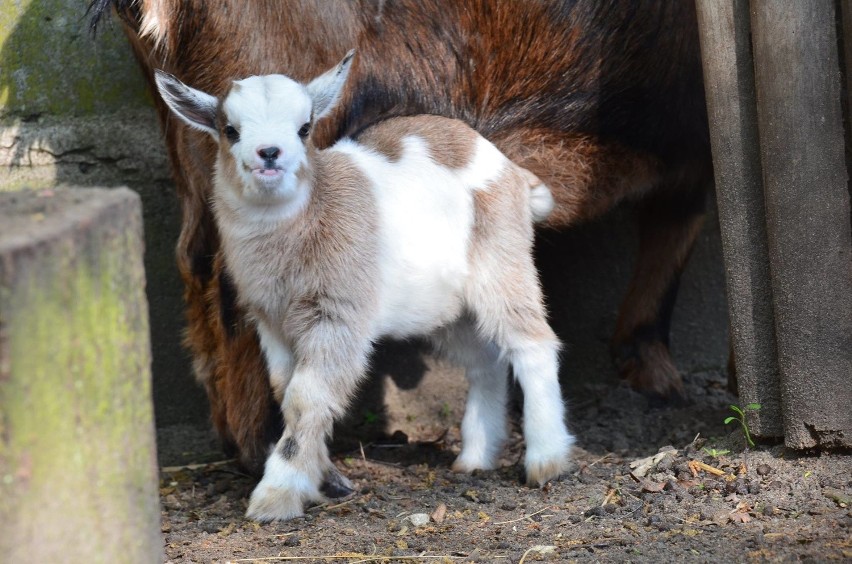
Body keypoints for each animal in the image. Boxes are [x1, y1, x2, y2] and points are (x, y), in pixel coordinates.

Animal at [156, 51, 576, 520]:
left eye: (305, 127)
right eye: (230, 130)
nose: (270, 154)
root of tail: (513, 173)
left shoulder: (338, 313)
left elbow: (306, 396)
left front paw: (276, 496)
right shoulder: (274, 321)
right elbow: (286, 391)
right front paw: (324, 480)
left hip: (502, 263)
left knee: (532, 343)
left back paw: (546, 461)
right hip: (446, 309)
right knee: (485, 360)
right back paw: (474, 458)